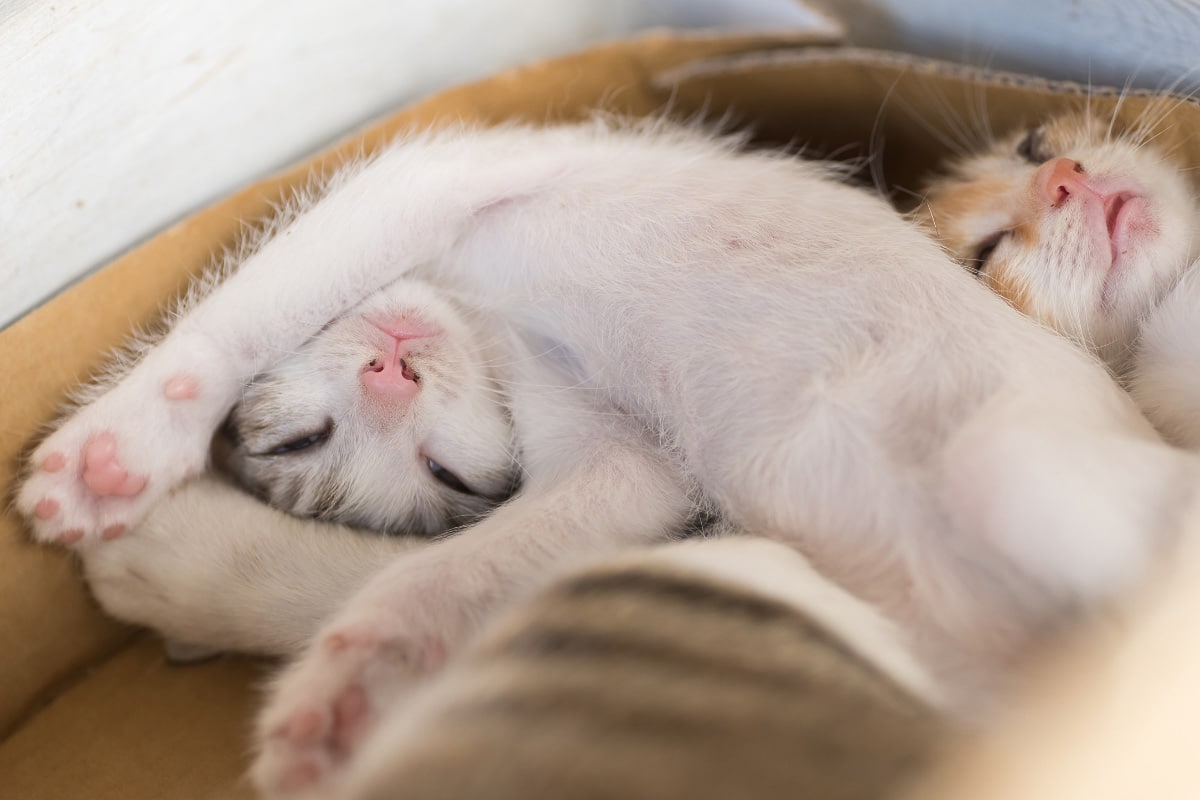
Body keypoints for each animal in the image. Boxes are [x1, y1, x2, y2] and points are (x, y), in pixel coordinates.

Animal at [18, 122, 1200, 796]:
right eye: (304, 438)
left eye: (445, 471)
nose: (393, 372)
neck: (491, 328)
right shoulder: (626, 461)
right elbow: (464, 561)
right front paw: (355, 680)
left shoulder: (450, 168)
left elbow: (264, 293)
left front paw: (118, 446)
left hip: (1024, 463)